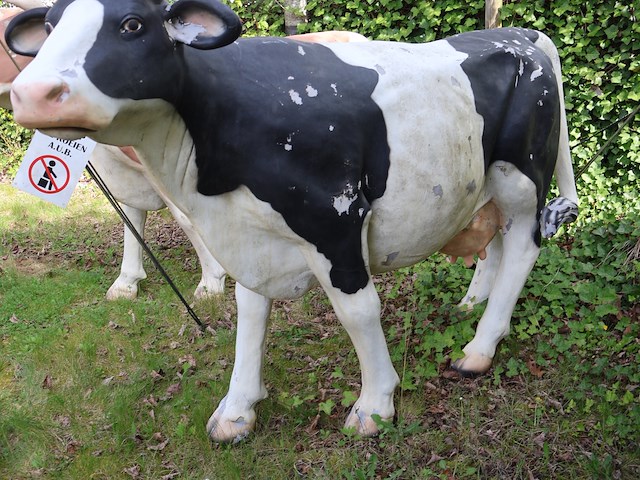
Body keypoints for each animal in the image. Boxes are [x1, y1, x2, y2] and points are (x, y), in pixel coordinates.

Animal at [6, 0, 579, 442]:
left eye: (130, 24)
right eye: (50, 26)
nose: (32, 93)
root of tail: (523, 34)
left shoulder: (336, 218)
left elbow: (359, 313)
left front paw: (375, 405)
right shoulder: (248, 234)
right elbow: (250, 313)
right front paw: (237, 409)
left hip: (521, 175)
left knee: (524, 246)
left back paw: (480, 347)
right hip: (482, 184)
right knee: (496, 242)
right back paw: (472, 306)